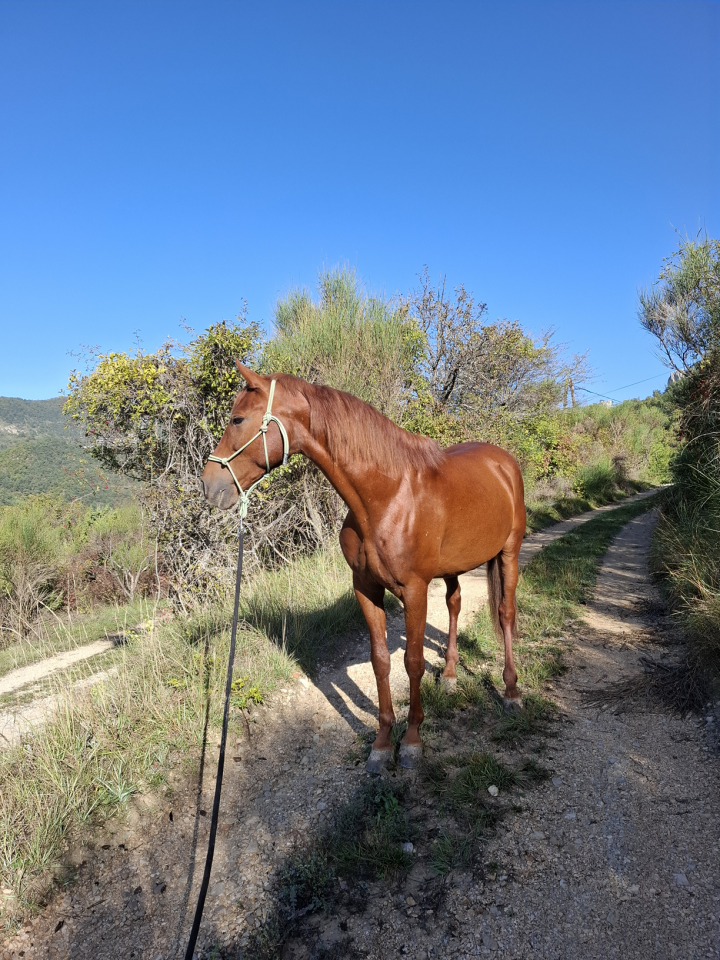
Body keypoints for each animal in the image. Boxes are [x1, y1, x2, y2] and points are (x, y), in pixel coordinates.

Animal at [201, 364, 526, 772]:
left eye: (238, 419)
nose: (209, 485)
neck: (387, 496)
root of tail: (503, 462)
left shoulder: (415, 590)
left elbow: (413, 662)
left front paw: (413, 741)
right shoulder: (366, 589)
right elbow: (381, 662)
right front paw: (383, 744)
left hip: (509, 554)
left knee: (505, 613)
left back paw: (511, 691)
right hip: (454, 566)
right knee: (454, 604)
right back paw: (451, 675)